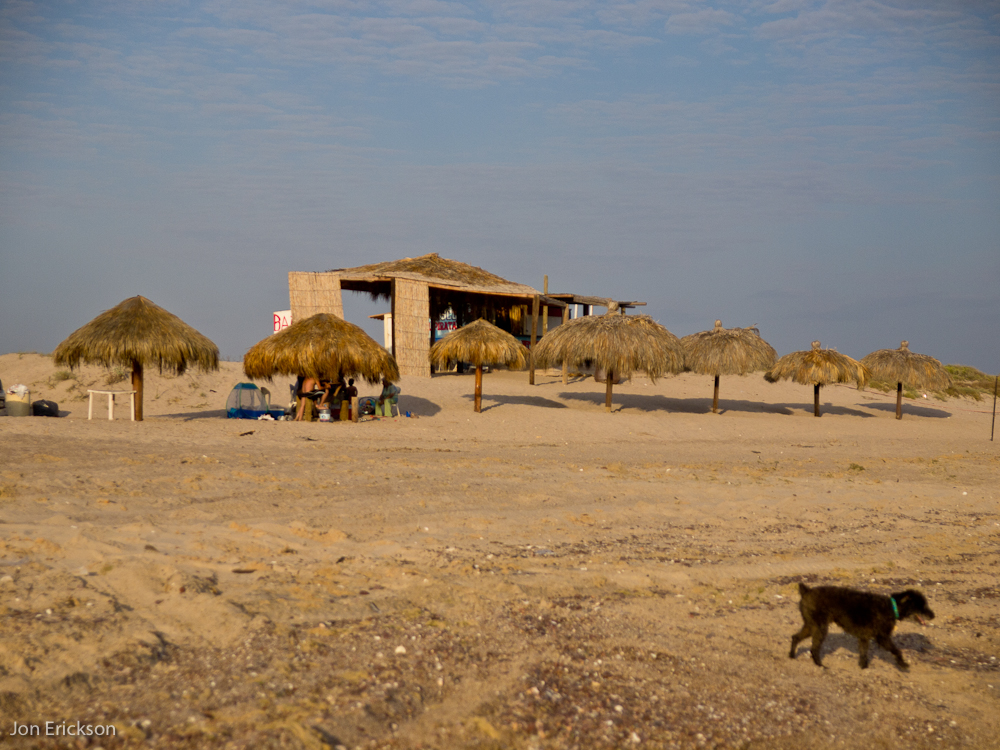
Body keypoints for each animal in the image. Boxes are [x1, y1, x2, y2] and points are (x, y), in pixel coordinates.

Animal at [789, 582, 934, 670]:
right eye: (921, 606)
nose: (933, 615)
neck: (891, 608)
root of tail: (806, 591)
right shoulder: (882, 638)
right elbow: (897, 650)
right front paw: (902, 664)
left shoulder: (864, 638)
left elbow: (864, 655)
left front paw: (864, 668)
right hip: (820, 628)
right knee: (814, 648)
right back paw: (821, 666)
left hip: (811, 625)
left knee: (795, 637)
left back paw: (791, 656)